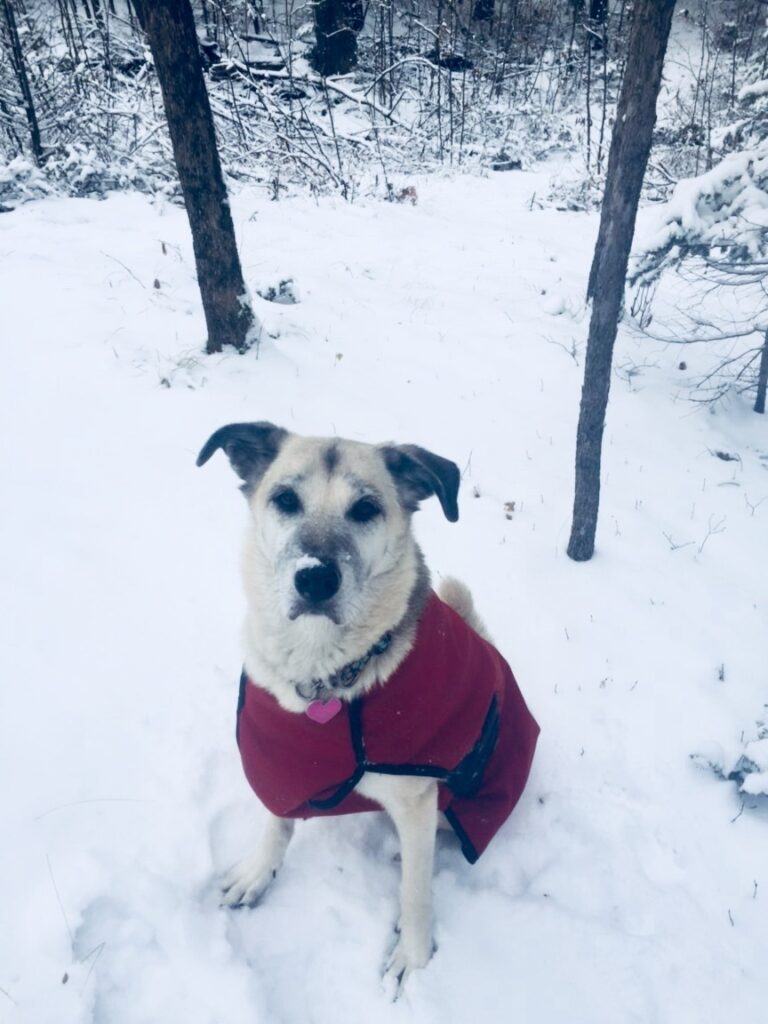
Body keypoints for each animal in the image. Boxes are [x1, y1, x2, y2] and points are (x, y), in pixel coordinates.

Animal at [195, 421, 536, 991]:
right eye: (285, 499)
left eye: (366, 508)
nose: (314, 578)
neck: (327, 680)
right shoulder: (282, 759)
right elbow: (277, 821)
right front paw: (259, 873)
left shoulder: (417, 798)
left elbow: (416, 893)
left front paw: (413, 960)